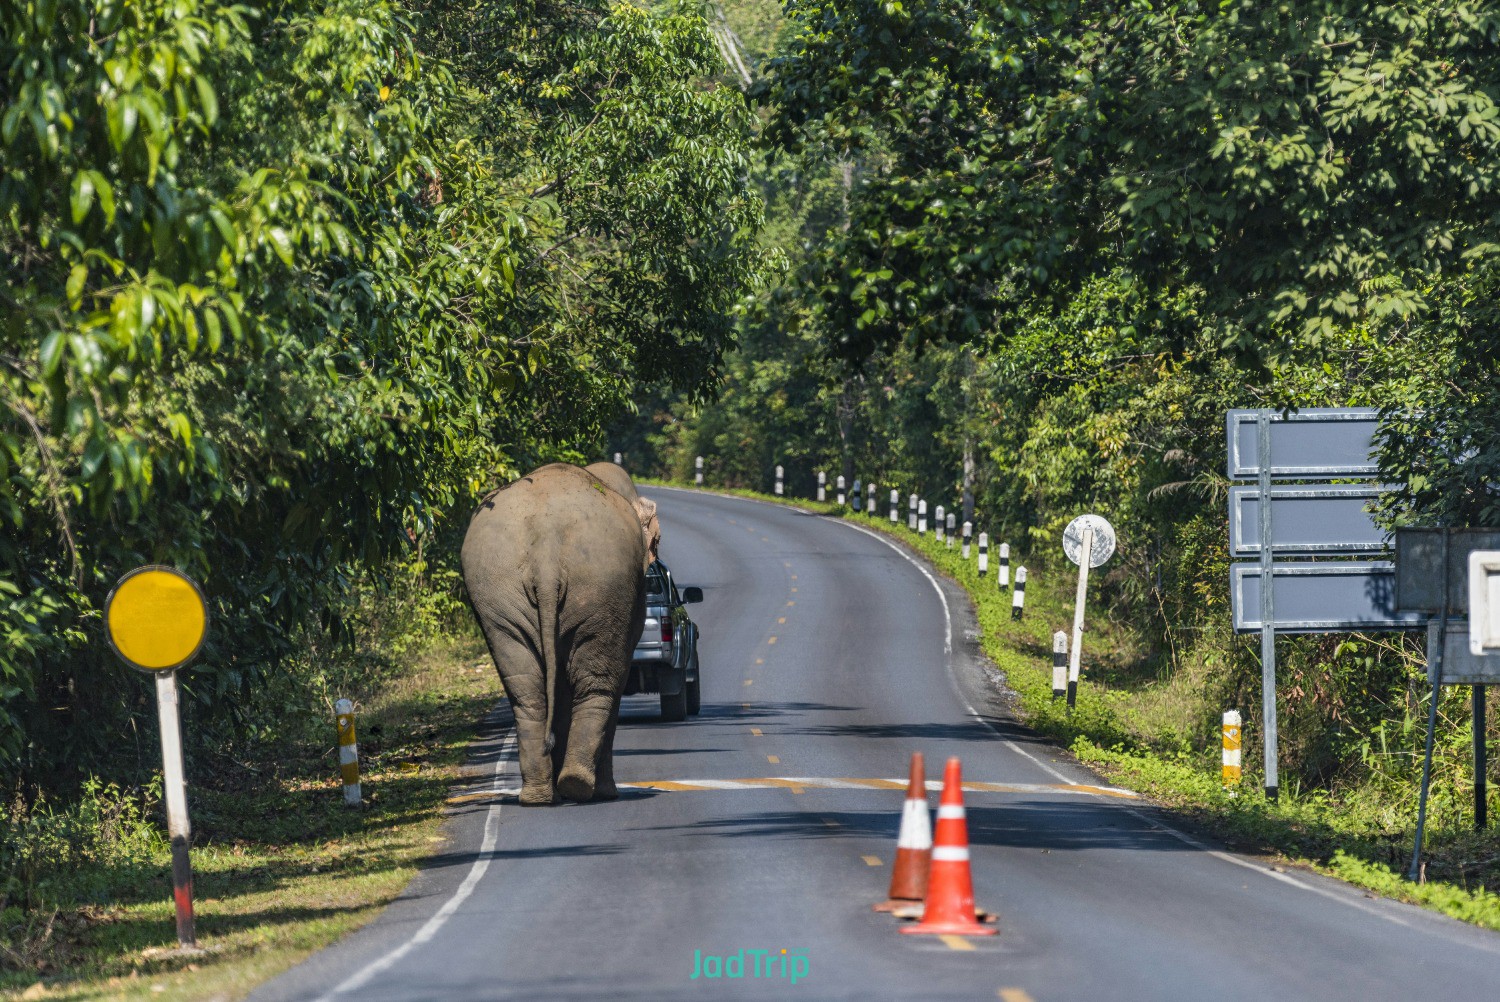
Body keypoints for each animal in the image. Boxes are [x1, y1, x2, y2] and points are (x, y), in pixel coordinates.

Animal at [461, 462, 660, 804]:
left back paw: (538, 795)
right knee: (599, 685)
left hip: (495, 588)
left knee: (525, 687)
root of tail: (545, 547)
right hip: (604, 584)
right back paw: (584, 788)